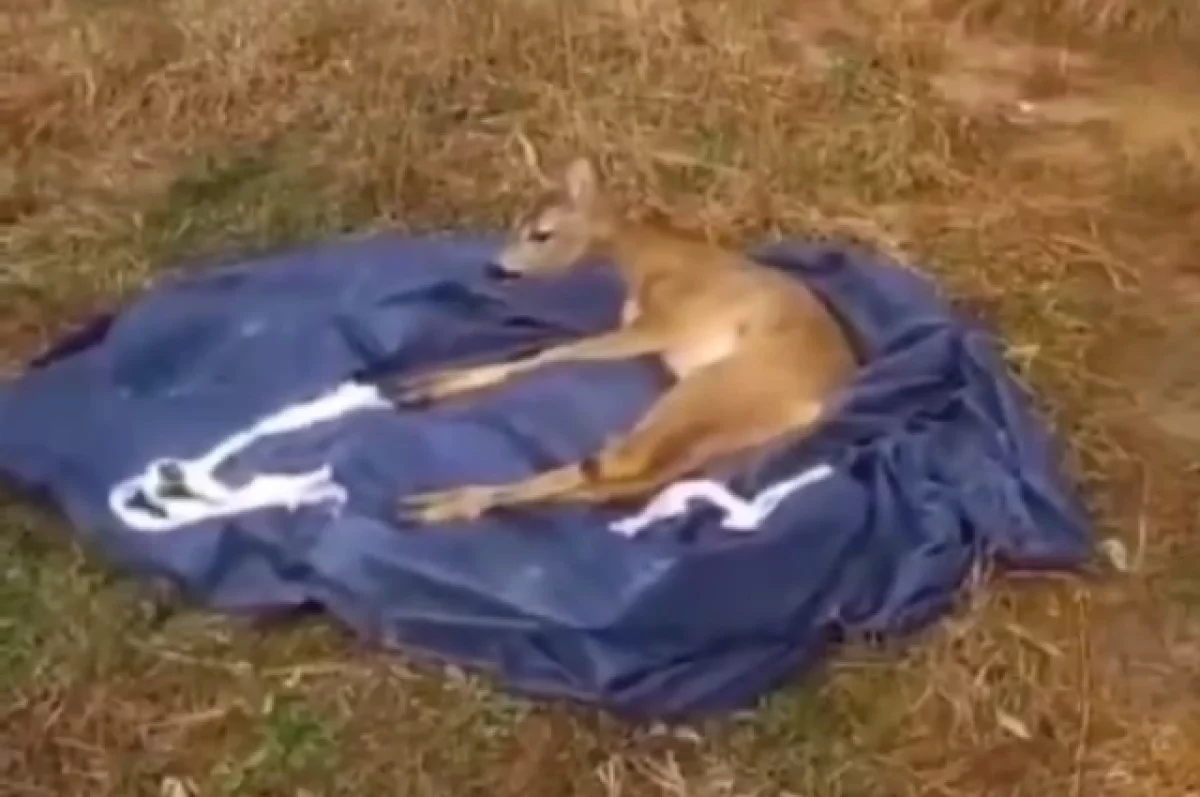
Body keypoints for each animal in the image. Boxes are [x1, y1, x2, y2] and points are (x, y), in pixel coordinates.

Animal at [388, 155, 860, 526]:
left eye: (541, 232)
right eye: (516, 223)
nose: (495, 269)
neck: (648, 263)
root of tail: (820, 402)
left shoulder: (664, 324)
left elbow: (554, 351)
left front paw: (431, 386)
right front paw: (423, 385)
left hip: (715, 388)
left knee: (618, 463)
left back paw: (439, 503)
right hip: (725, 427)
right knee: (618, 478)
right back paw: (441, 503)